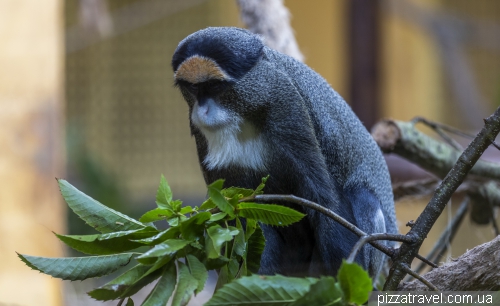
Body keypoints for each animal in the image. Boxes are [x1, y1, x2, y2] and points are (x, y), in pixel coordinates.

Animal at [172, 27, 398, 278]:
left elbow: (325, 200)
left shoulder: (286, 104)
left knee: (365, 198)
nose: (202, 111)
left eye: (214, 86)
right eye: (193, 88)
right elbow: (241, 215)